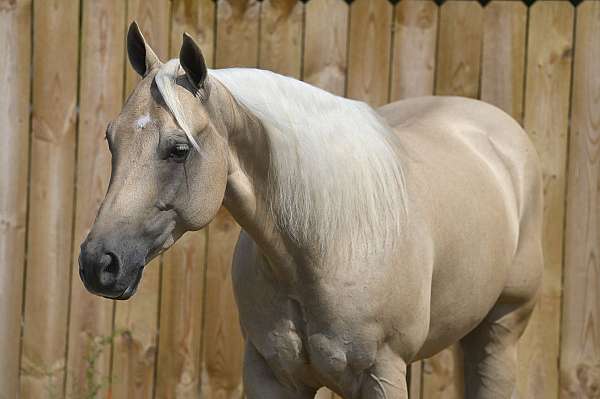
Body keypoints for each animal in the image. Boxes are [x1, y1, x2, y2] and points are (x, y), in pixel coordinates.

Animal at [78, 23, 544, 398]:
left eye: (178, 149)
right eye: (110, 139)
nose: (98, 263)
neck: (322, 246)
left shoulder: (382, 374)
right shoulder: (271, 375)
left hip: (500, 332)